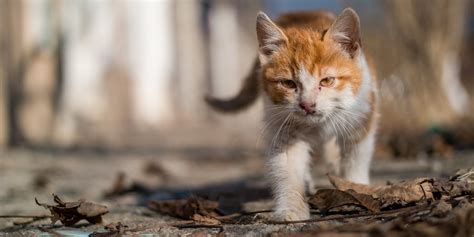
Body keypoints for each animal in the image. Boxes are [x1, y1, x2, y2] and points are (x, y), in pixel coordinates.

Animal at [204, 7, 378, 222]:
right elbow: (287, 168)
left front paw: (355, 187)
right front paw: (292, 208)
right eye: (288, 83)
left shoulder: (361, 114)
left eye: (327, 81)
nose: (307, 105)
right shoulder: (283, 129)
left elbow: (356, 156)